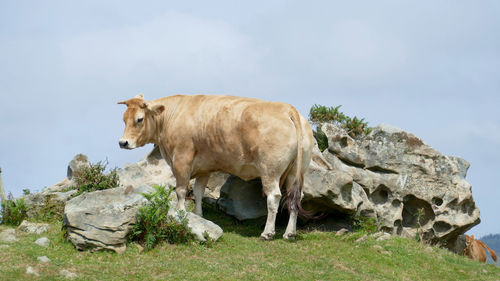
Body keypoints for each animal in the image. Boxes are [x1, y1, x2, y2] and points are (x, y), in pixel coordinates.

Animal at [118, 93, 312, 238]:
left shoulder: (181, 160)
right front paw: (198, 216)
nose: (123, 142)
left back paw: (267, 233)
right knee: (295, 198)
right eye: (124, 119)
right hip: (296, 172)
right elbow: (198, 192)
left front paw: (181, 214)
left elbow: (180, 191)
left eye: (139, 119)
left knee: (274, 197)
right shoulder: (204, 167)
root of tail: (287, 108)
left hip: (270, 170)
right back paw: (289, 233)